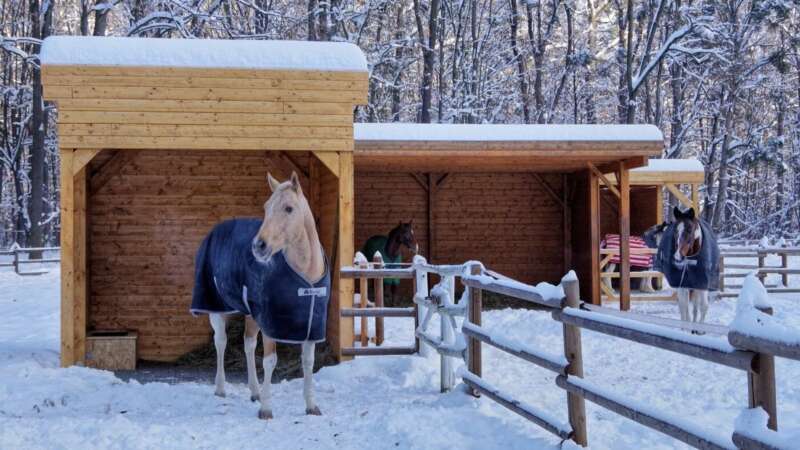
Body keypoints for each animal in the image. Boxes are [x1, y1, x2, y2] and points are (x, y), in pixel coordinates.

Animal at [189, 171, 330, 418]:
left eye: (289, 208)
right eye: (266, 207)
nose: (259, 246)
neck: (306, 277)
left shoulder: (311, 324)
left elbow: (308, 362)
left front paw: (311, 405)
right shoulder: (271, 323)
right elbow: (270, 361)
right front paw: (266, 409)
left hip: (251, 314)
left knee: (248, 344)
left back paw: (254, 392)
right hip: (216, 307)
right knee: (221, 342)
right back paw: (221, 388)